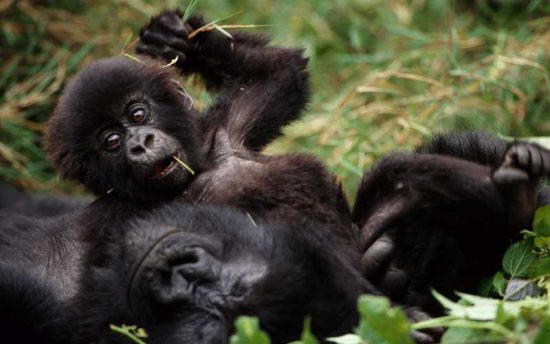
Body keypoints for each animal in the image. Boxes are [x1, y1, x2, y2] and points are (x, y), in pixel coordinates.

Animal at [47, 11, 358, 245]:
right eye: (111, 141)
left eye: (138, 115)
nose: (140, 144)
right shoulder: (101, 224)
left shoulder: (226, 126)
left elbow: (280, 73)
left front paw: (171, 37)